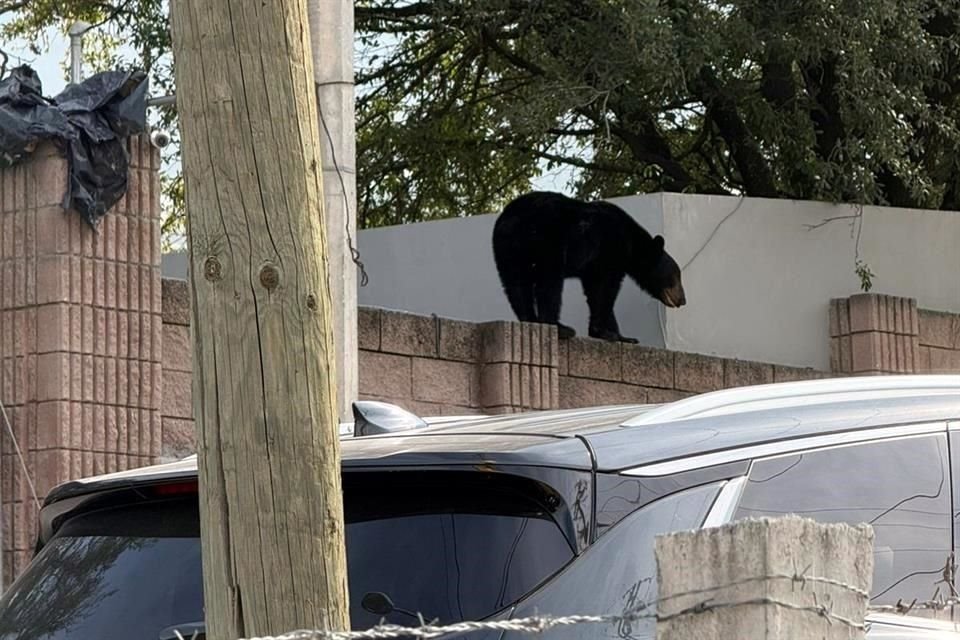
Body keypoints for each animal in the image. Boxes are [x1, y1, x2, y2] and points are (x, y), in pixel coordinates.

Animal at [492, 192, 688, 342]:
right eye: (676, 276)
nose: (683, 299)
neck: (631, 243)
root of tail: (510, 219)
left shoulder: (593, 265)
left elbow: (594, 291)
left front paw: (622, 336)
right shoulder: (610, 250)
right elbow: (606, 290)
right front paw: (604, 331)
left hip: (508, 252)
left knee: (516, 285)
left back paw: (530, 320)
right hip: (547, 243)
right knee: (549, 283)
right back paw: (559, 327)